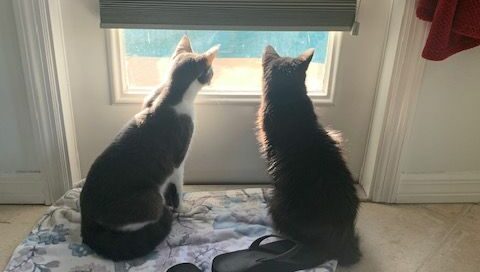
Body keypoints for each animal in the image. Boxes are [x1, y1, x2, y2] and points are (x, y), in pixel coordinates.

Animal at [80, 36, 219, 262]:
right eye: (210, 71)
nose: (213, 76)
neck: (171, 95)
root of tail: (86, 217)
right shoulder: (178, 161)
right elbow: (179, 189)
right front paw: (185, 208)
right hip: (149, 199)